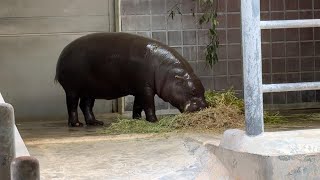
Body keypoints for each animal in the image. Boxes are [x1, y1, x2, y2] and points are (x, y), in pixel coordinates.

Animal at [55, 32, 209, 128]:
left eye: (203, 89)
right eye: (193, 91)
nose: (205, 107)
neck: (168, 72)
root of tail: (62, 53)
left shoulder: (140, 89)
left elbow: (138, 105)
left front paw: (137, 119)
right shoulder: (146, 89)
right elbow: (149, 105)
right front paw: (154, 121)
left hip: (90, 90)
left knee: (85, 105)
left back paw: (96, 123)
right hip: (72, 89)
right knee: (72, 105)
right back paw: (76, 124)